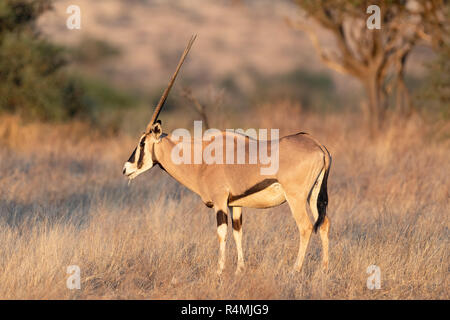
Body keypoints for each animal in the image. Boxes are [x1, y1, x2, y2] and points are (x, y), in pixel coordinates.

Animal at [123, 35, 330, 276]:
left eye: (142, 142)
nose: (126, 168)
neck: (200, 160)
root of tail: (318, 146)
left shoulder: (220, 201)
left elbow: (222, 233)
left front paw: (219, 271)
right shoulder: (235, 204)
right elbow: (238, 232)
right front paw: (240, 269)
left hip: (296, 197)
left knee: (305, 227)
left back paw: (295, 270)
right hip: (313, 195)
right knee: (324, 224)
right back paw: (324, 270)